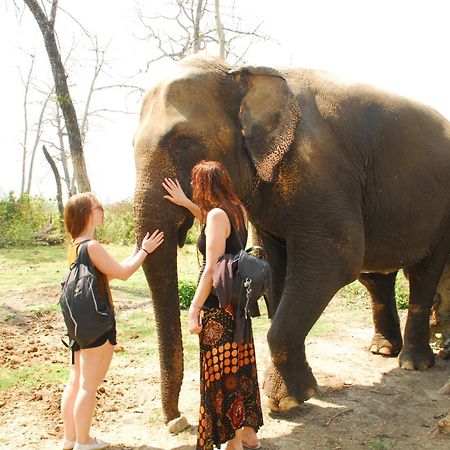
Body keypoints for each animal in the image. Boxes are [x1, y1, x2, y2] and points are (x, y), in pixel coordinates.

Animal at [132, 55, 450, 422]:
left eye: (184, 143)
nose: (176, 421)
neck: (244, 71)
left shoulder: (322, 168)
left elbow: (338, 257)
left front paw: (284, 401)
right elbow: (276, 264)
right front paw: (288, 396)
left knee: (424, 272)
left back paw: (413, 364)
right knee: (377, 277)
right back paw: (382, 350)